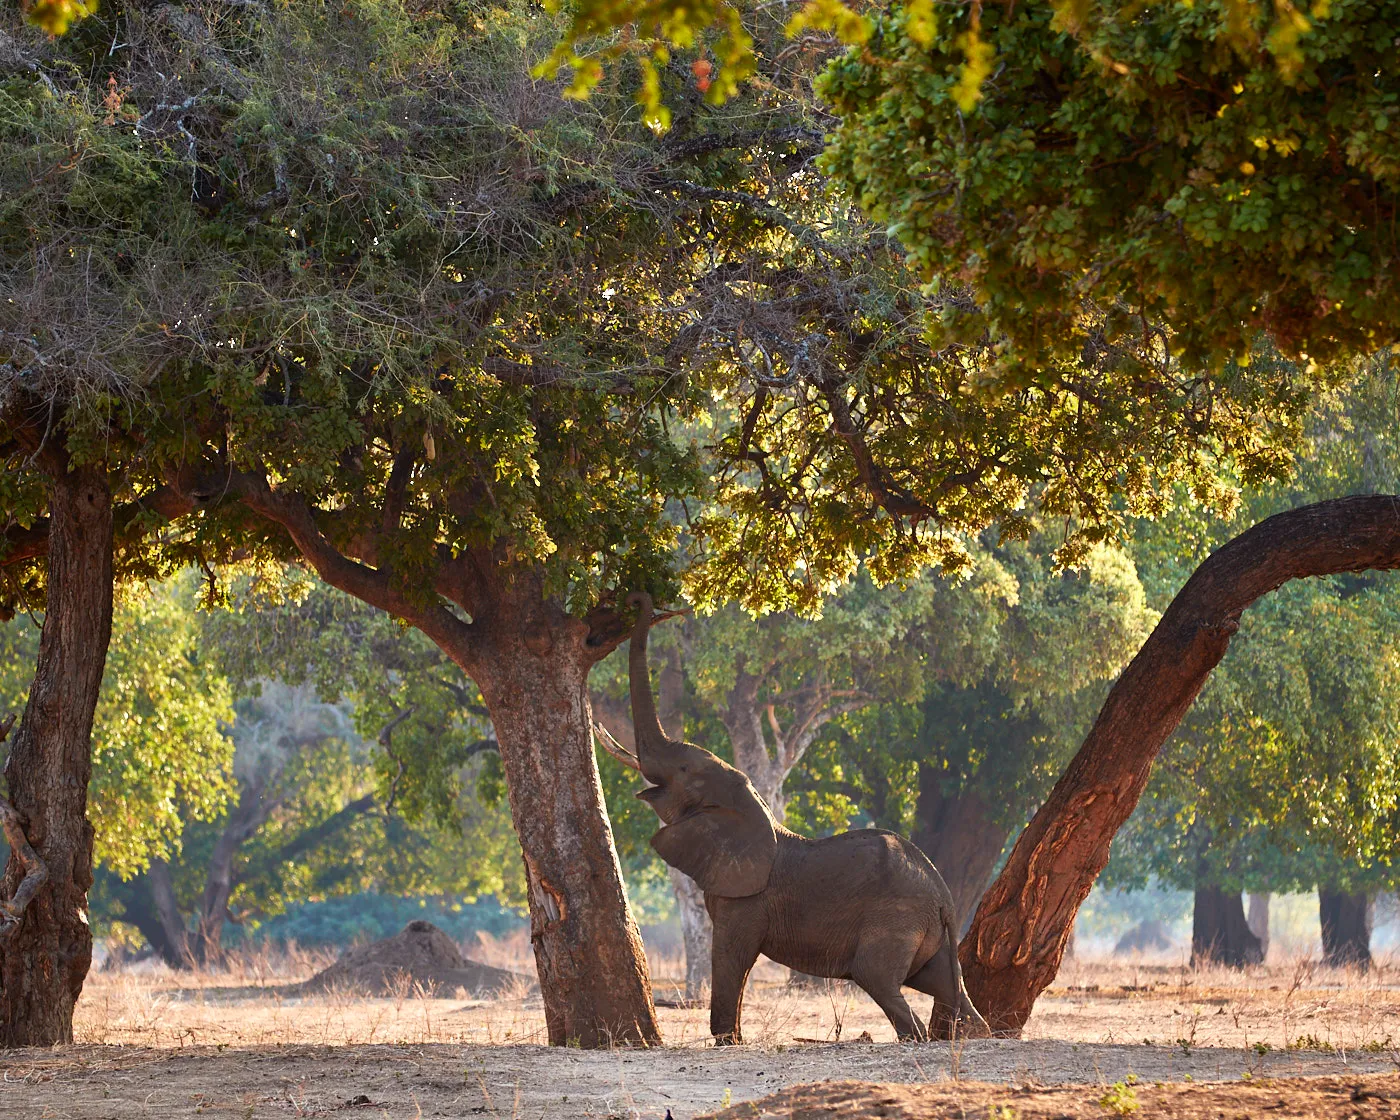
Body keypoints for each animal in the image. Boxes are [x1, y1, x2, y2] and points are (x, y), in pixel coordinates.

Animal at [625, 591, 992, 1044]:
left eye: (684, 773)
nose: (641, 599)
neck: (753, 809)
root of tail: (945, 898)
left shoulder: (747, 900)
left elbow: (732, 955)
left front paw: (728, 1041)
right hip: (930, 932)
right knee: (942, 983)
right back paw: (978, 1033)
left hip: (896, 919)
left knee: (880, 981)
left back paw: (916, 1037)